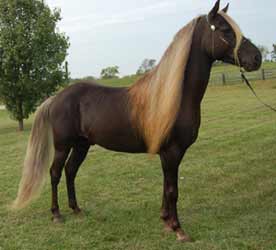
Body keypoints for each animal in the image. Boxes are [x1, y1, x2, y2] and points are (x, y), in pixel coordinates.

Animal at [12, 0, 262, 242]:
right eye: (224, 29)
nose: (257, 58)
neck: (173, 96)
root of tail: (56, 97)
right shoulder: (172, 152)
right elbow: (172, 190)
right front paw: (178, 229)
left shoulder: (169, 154)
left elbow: (166, 187)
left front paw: (166, 221)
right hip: (63, 145)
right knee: (55, 173)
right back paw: (56, 214)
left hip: (82, 145)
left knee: (70, 171)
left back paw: (76, 210)